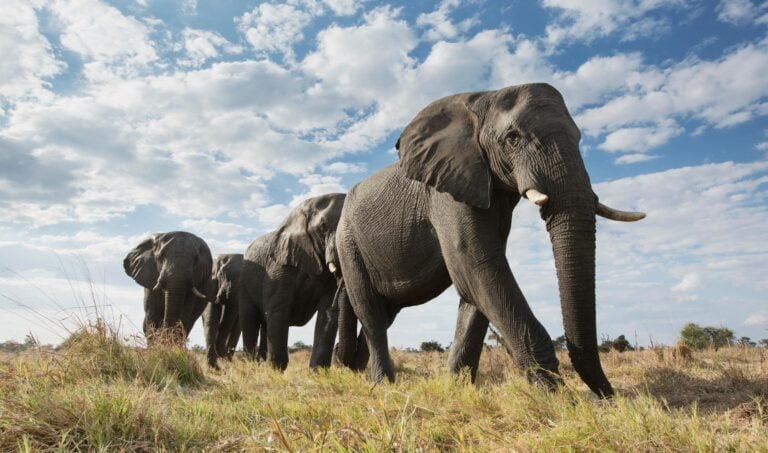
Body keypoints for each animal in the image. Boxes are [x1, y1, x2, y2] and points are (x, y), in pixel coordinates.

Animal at [240, 192, 348, 370]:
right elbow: (279, 310)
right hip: (244, 284)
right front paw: (276, 371)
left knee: (265, 324)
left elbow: (325, 314)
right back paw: (250, 366)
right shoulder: (280, 264)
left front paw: (318, 372)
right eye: (323, 227)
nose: (338, 349)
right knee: (250, 321)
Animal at [340, 83, 644, 398]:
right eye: (512, 138)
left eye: (579, 137)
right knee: (370, 311)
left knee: (386, 311)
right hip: (348, 242)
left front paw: (458, 389)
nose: (606, 398)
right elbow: (477, 265)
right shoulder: (446, 193)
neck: (483, 99)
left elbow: (477, 284)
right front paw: (554, 397)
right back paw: (382, 386)